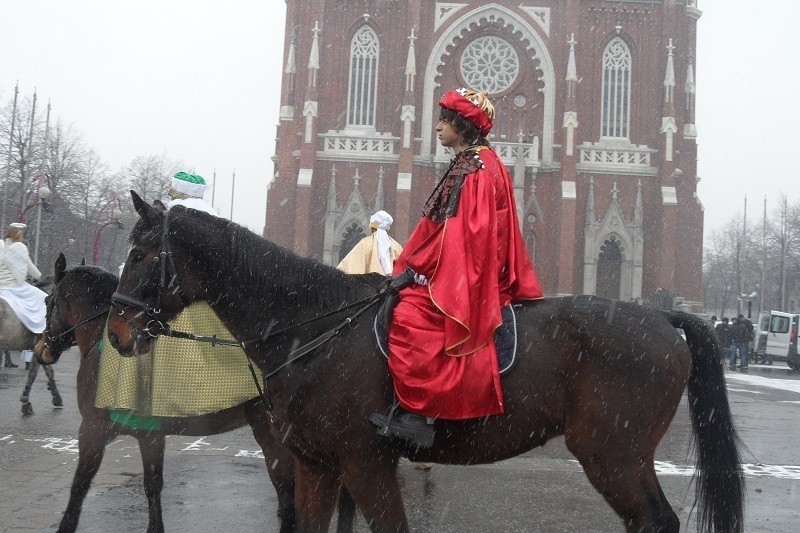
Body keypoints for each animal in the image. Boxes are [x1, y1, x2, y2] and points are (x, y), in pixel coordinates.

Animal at [34, 255, 354, 532]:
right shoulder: (149, 434)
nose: (41, 349)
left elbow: (79, 486)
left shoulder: (93, 430)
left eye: (48, 301)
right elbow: (152, 485)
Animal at [106, 191, 744, 532]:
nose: (116, 332)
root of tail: (663, 319)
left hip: (611, 456)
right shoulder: (317, 465)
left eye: (141, 253)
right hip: (626, 459)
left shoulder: (365, 465)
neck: (316, 326)